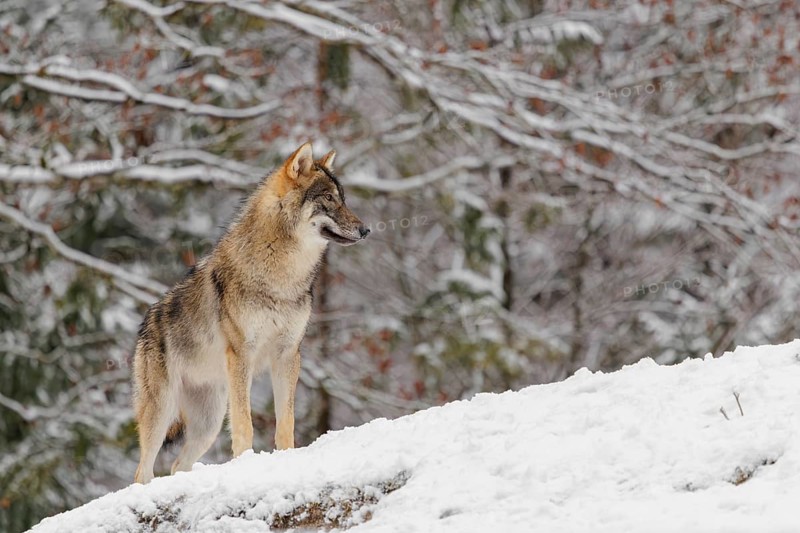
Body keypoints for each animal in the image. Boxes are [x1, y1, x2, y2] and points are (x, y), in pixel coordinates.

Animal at [132, 142, 369, 484]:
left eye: (343, 199)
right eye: (328, 198)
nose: (366, 230)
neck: (283, 277)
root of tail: (144, 326)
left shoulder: (288, 354)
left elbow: (286, 421)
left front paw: (286, 456)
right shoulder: (241, 354)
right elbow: (245, 424)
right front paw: (245, 462)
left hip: (209, 422)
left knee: (177, 465)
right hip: (162, 411)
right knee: (143, 471)